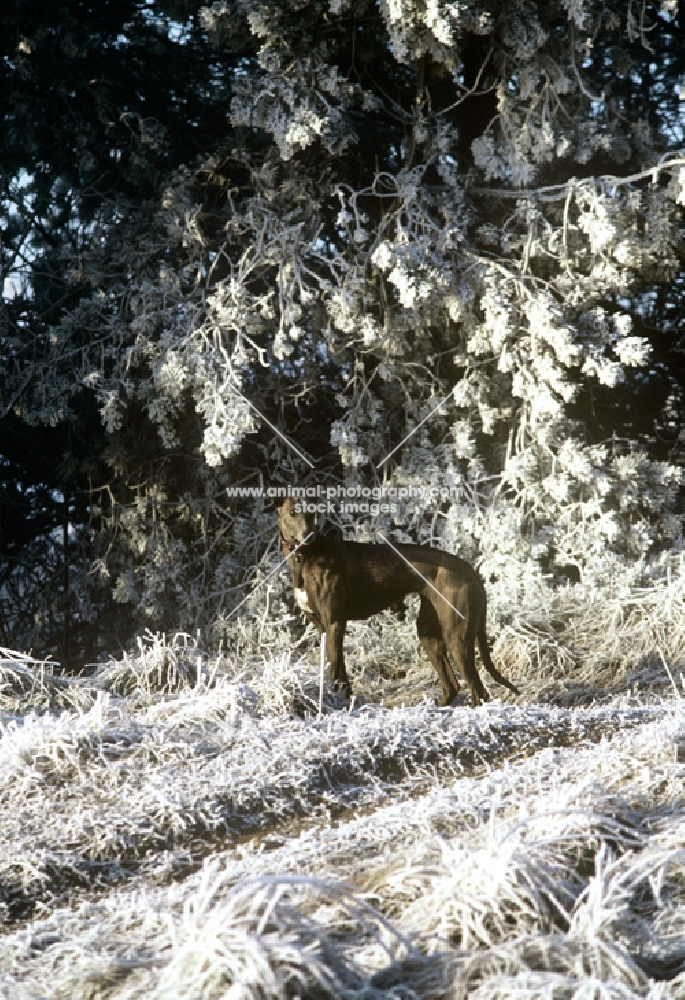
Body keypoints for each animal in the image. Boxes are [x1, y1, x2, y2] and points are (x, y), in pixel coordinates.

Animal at [274, 498, 520, 704]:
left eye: (312, 513)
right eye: (292, 512)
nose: (308, 535)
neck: (306, 556)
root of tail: (471, 571)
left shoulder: (334, 623)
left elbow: (334, 669)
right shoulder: (323, 627)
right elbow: (338, 668)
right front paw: (343, 700)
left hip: (456, 637)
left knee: (479, 691)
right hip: (429, 634)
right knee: (453, 686)